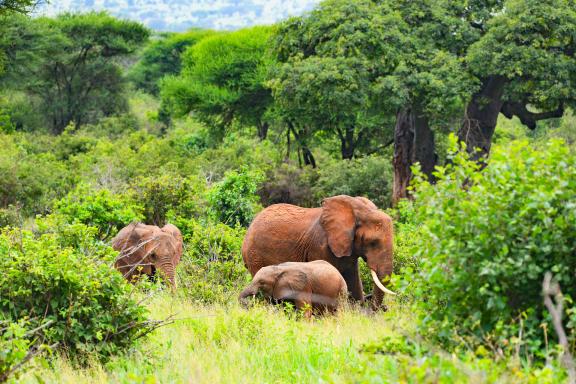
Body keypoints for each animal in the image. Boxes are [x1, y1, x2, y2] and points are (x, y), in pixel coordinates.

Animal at [240, 194, 396, 310]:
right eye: (373, 242)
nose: (382, 308)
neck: (359, 210)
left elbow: (353, 279)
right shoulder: (320, 245)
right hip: (255, 256)